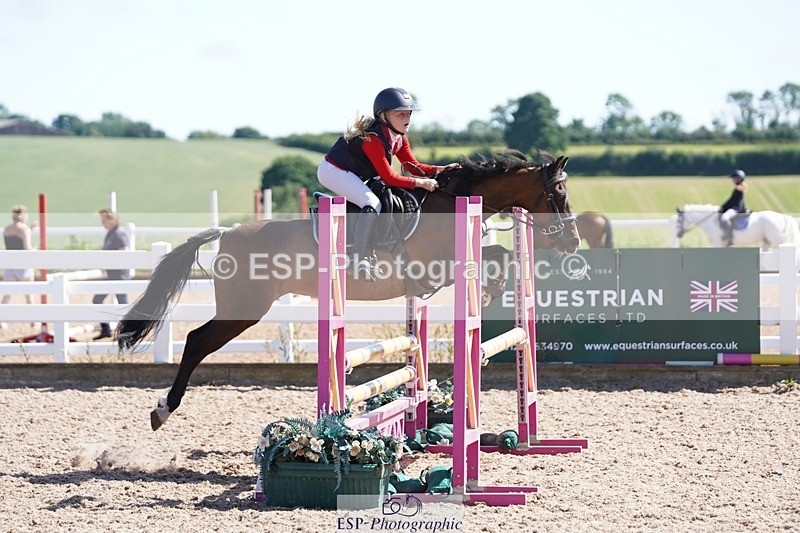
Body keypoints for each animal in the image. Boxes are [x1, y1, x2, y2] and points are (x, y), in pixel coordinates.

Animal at [117, 151, 580, 431]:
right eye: (558, 192)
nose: (574, 242)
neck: (450, 204)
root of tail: (227, 233)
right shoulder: (437, 268)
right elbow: (495, 256)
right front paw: (488, 291)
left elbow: (499, 253)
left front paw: (491, 292)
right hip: (245, 308)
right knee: (196, 341)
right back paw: (162, 410)